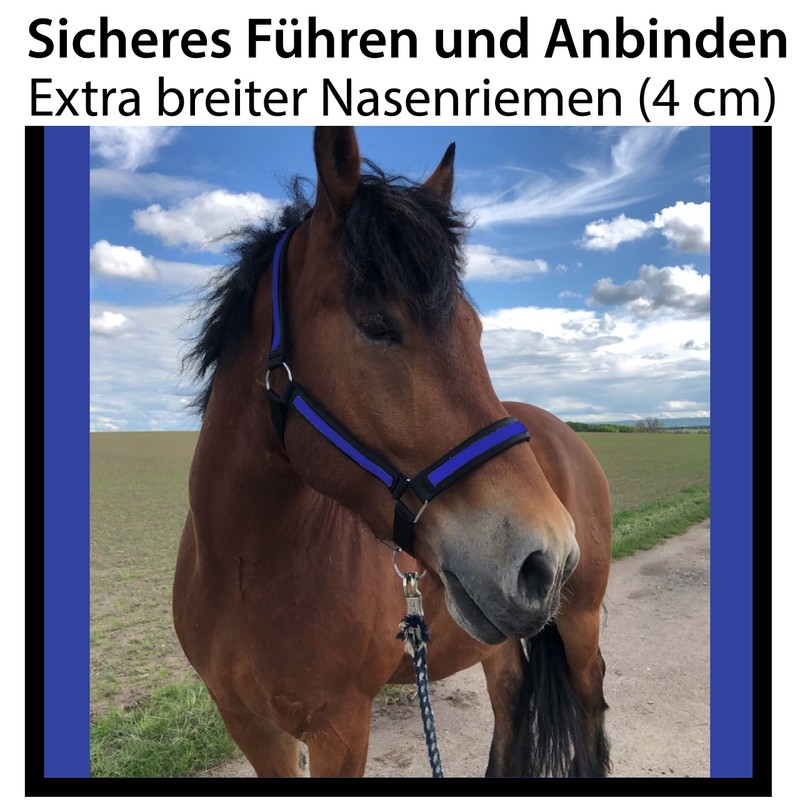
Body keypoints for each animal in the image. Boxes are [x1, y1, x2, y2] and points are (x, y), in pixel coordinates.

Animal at [173, 127, 612, 778]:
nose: (547, 559)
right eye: (377, 325)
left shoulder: (341, 728)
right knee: (511, 696)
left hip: (579, 622)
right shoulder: (251, 727)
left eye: (475, 330)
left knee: (589, 704)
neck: (243, 570)